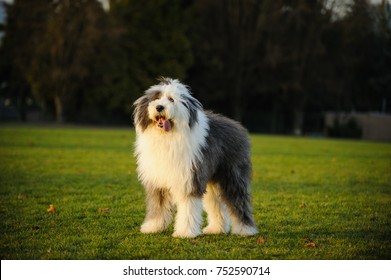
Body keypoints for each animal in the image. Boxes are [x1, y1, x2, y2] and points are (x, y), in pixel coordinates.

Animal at [133, 77, 258, 237]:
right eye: (156, 98)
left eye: (171, 99)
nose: (159, 107)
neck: (168, 137)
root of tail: (236, 125)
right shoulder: (158, 180)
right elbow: (158, 205)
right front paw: (153, 227)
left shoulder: (189, 178)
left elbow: (188, 208)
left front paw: (185, 232)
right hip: (213, 180)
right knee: (215, 203)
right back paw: (216, 228)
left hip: (232, 175)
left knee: (238, 200)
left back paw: (245, 230)